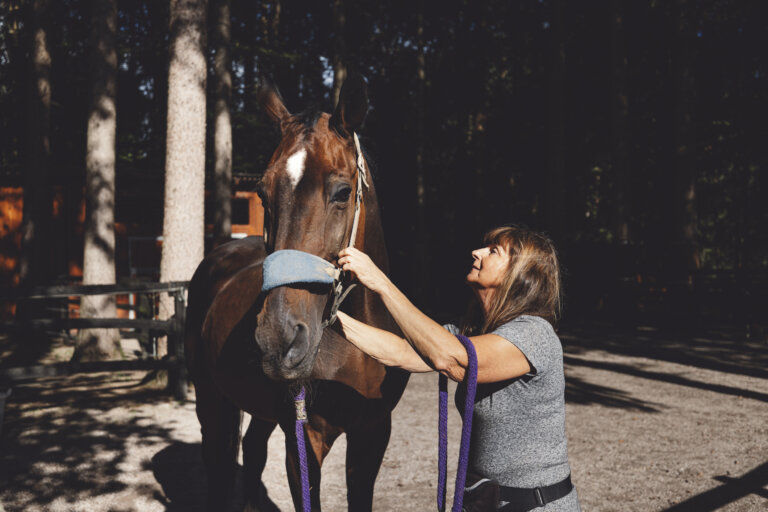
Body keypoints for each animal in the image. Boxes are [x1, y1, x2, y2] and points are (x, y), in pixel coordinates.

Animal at [184, 73, 410, 511]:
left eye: (342, 192)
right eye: (262, 193)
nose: (279, 339)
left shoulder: (374, 433)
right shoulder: (303, 439)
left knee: (252, 449)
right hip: (210, 397)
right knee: (218, 463)